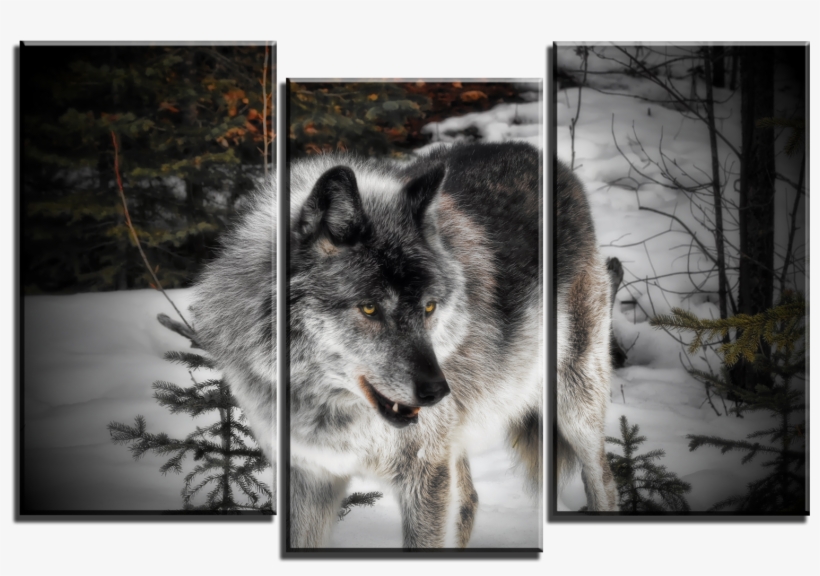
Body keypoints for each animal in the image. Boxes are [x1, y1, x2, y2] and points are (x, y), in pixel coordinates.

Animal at [288, 142, 543, 549]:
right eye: (369, 308)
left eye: (429, 307)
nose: (437, 390)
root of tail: (526, 149)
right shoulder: (308, 470)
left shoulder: (426, 469)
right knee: (470, 500)